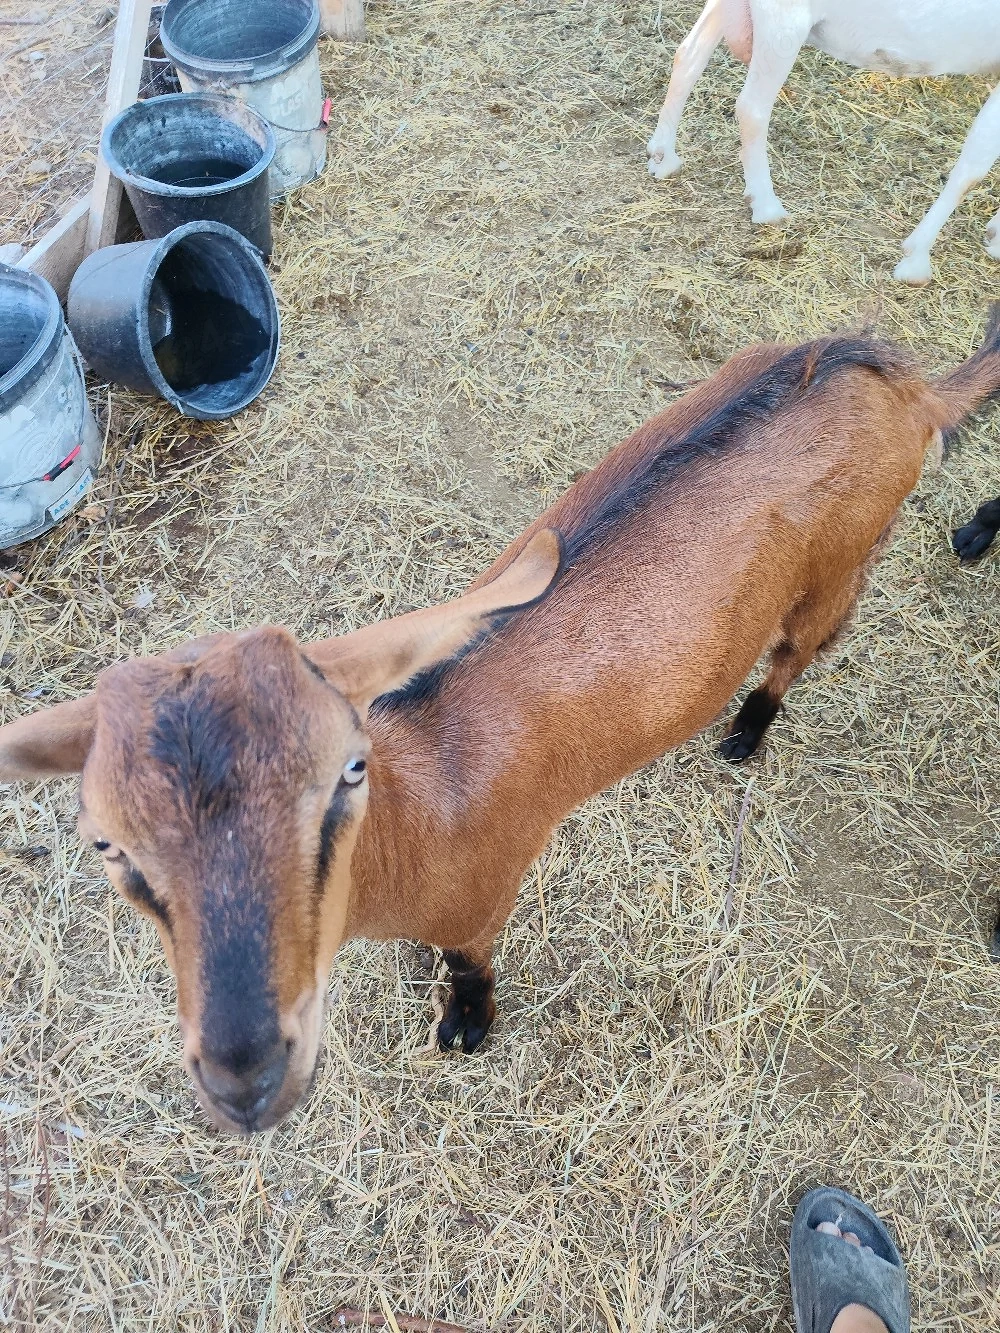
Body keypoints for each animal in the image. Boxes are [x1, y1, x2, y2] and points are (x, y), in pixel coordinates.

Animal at [4, 316, 1000, 1135]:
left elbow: (472, 963)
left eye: (346, 774)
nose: (245, 1078)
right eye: (107, 844)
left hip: (842, 560)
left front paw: (465, 1026)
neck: (418, 808)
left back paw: (746, 735)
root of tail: (905, 387)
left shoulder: (483, 895)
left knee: (800, 651)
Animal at [646, 0, 1000, 284]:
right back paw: (766, 204)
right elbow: (974, 167)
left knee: (689, 54)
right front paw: (916, 262)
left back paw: (663, 157)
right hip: (784, 19)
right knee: (752, 108)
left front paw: (995, 237)